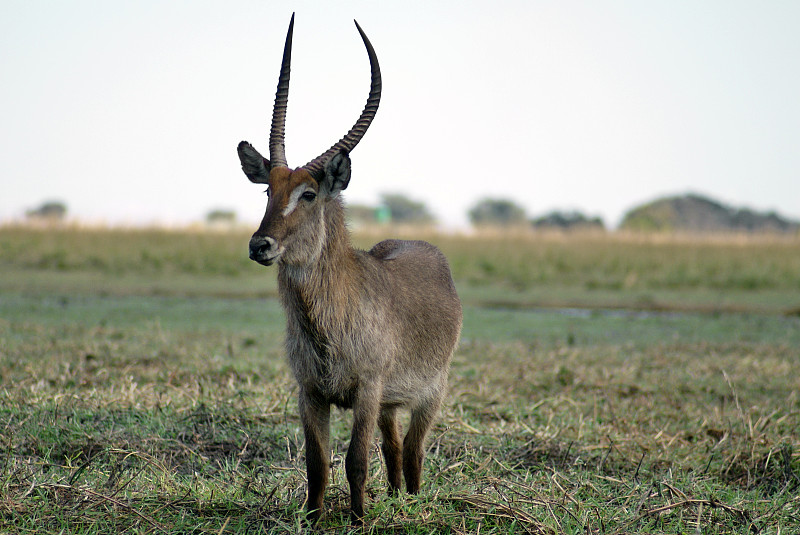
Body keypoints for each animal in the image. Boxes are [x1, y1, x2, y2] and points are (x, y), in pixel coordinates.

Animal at [236, 15, 462, 524]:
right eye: (268, 190)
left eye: (308, 193)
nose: (261, 244)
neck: (327, 317)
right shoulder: (310, 392)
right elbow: (317, 462)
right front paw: (313, 518)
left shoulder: (366, 389)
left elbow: (356, 461)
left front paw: (358, 521)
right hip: (390, 403)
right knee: (393, 446)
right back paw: (397, 497)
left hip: (429, 393)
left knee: (413, 451)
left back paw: (412, 501)